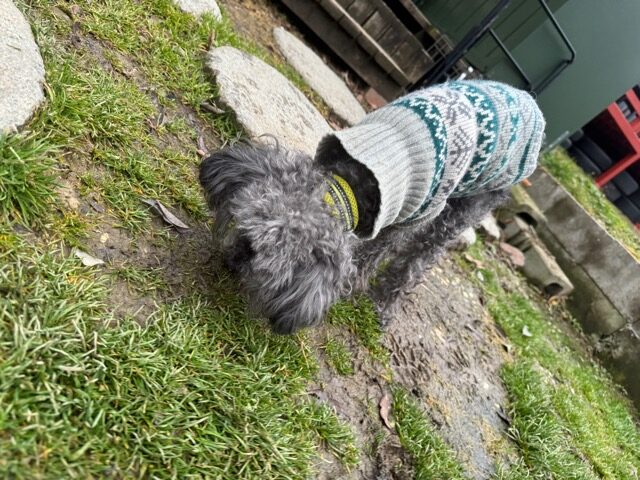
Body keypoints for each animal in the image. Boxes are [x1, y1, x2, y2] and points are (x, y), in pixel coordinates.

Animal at [199, 80, 545, 334]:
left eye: (259, 258)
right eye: (244, 235)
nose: (231, 261)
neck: (354, 182)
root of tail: (531, 103)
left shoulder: (411, 216)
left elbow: (379, 250)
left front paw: (356, 284)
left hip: (473, 202)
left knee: (422, 255)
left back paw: (384, 303)